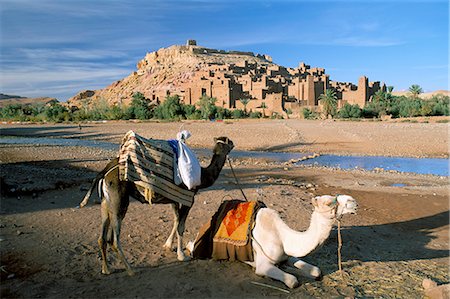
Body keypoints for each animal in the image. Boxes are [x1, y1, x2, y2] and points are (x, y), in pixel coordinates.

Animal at [78, 137, 234, 276]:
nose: (233, 144)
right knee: (114, 239)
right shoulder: (188, 198)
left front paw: (168, 245)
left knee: (103, 237)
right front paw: (182, 255)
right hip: (119, 202)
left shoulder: (173, 199)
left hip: (106, 203)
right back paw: (130, 270)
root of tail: (104, 172)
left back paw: (106, 269)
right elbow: (181, 226)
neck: (202, 176)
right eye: (228, 142)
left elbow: (176, 221)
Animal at [188, 195, 356, 288]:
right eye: (329, 203)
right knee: (191, 245)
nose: (353, 202)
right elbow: (292, 281)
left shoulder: (287, 255)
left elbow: (316, 271)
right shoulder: (263, 265)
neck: (282, 236)